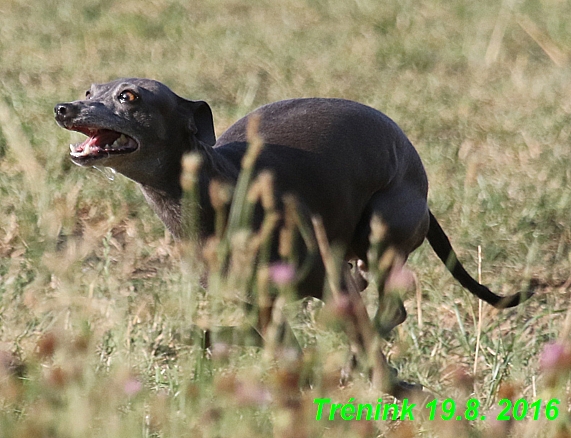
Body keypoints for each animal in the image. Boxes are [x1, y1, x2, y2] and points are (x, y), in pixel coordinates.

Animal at [55, 77, 536, 392]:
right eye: (89, 92)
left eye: (128, 96)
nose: (64, 108)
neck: (221, 188)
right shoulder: (258, 302)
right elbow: (281, 345)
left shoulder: (332, 284)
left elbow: (363, 339)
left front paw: (379, 381)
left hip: (383, 224)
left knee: (391, 306)